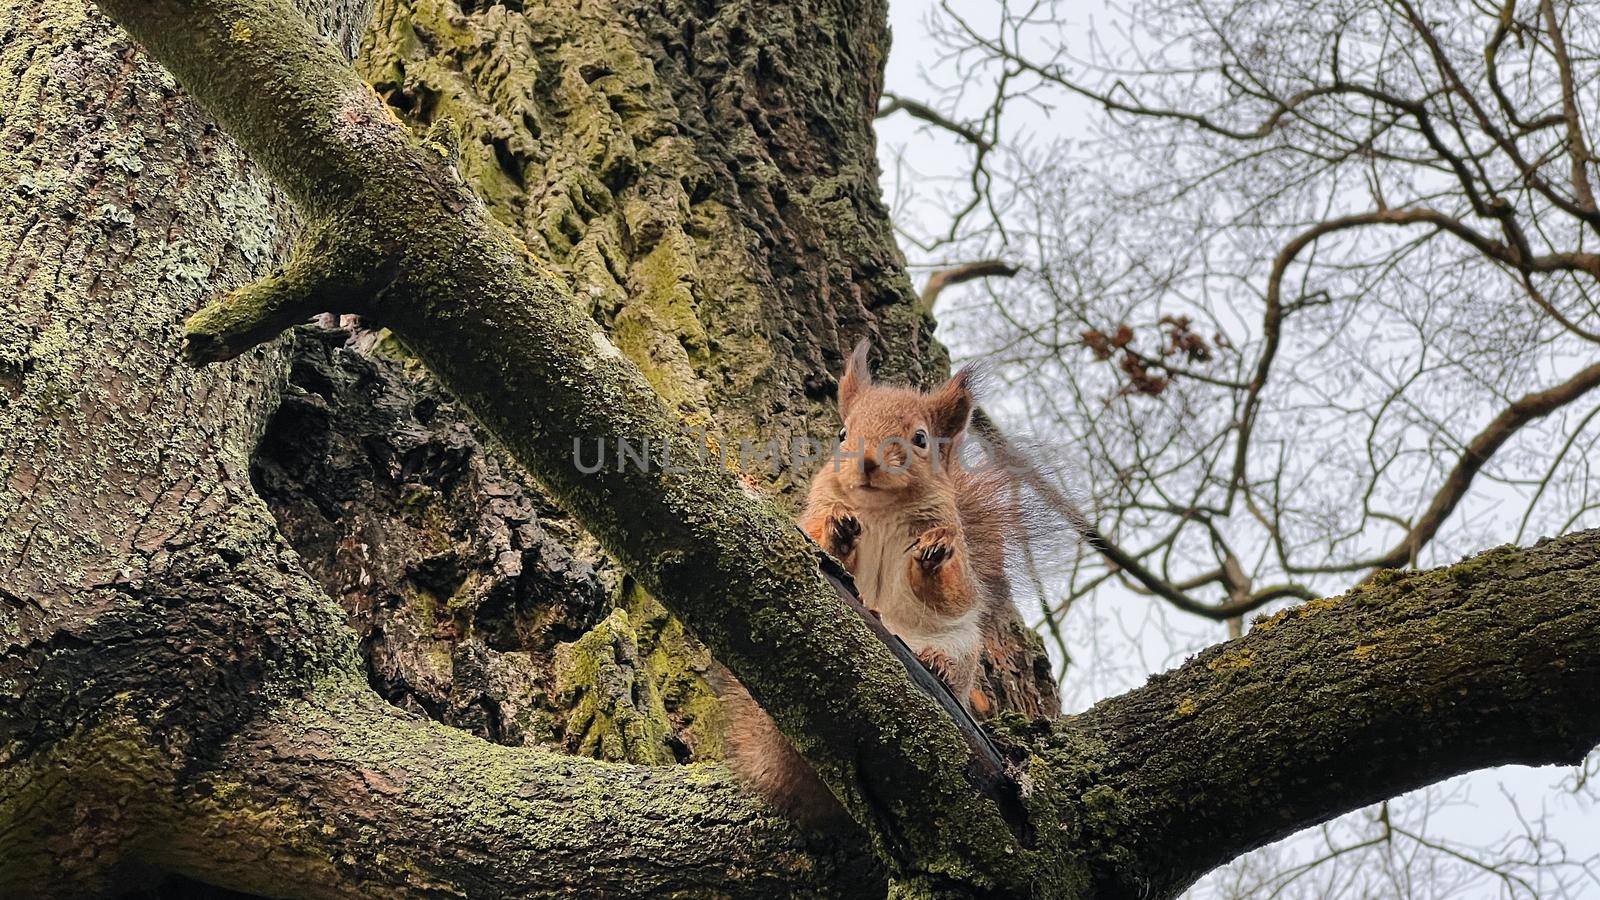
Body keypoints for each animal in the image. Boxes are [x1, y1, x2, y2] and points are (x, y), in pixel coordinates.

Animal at [726, 341, 1024, 819]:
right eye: (842, 433)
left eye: (920, 439)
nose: (867, 461)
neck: (881, 509)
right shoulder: (812, 516)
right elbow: (816, 535)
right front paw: (839, 529)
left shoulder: (951, 541)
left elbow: (956, 592)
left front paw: (934, 556)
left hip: (964, 648)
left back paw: (935, 662)